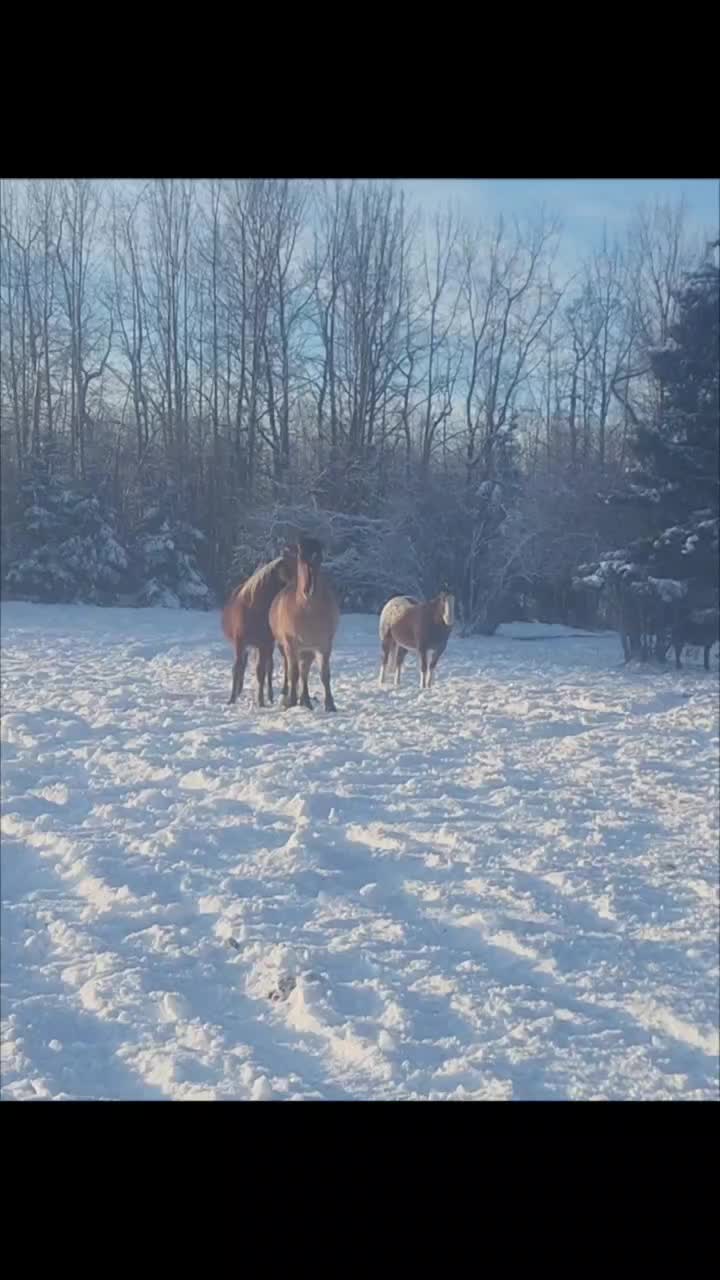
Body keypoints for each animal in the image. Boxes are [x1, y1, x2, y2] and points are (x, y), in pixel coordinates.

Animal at [222, 553, 294, 707]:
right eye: (288, 569)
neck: (253, 608)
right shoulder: (240, 643)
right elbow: (237, 668)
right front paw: (232, 699)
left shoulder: (263, 644)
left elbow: (261, 671)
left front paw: (260, 701)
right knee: (245, 665)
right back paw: (239, 691)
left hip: (272, 645)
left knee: (271, 667)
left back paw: (271, 696)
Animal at [269, 538, 340, 712]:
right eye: (301, 556)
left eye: (320, 558)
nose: (309, 589)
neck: (308, 610)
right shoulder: (291, 644)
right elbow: (293, 673)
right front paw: (292, 701)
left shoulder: (323, 645)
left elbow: (324, 674)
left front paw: (330, 704)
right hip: (285, 647)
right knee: (290, 669)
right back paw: (288, 695)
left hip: (307, 650)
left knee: (304, 672)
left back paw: (306, 701)